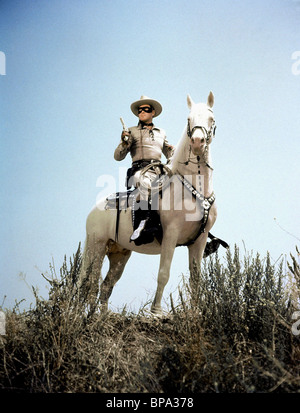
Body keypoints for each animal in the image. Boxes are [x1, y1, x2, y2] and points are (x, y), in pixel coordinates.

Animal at [81, 91, 218, 314]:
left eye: (211, 119)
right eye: (188, 119)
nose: (198, 142)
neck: (192, 190)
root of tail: (94, 210)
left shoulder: (199, 240)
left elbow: (196, 279)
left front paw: (194, 313)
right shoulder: (171, 235)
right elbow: (163, 273)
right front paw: (156, 311)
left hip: (119, 254)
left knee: (106, 285)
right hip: (96, 247)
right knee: (89, 282)